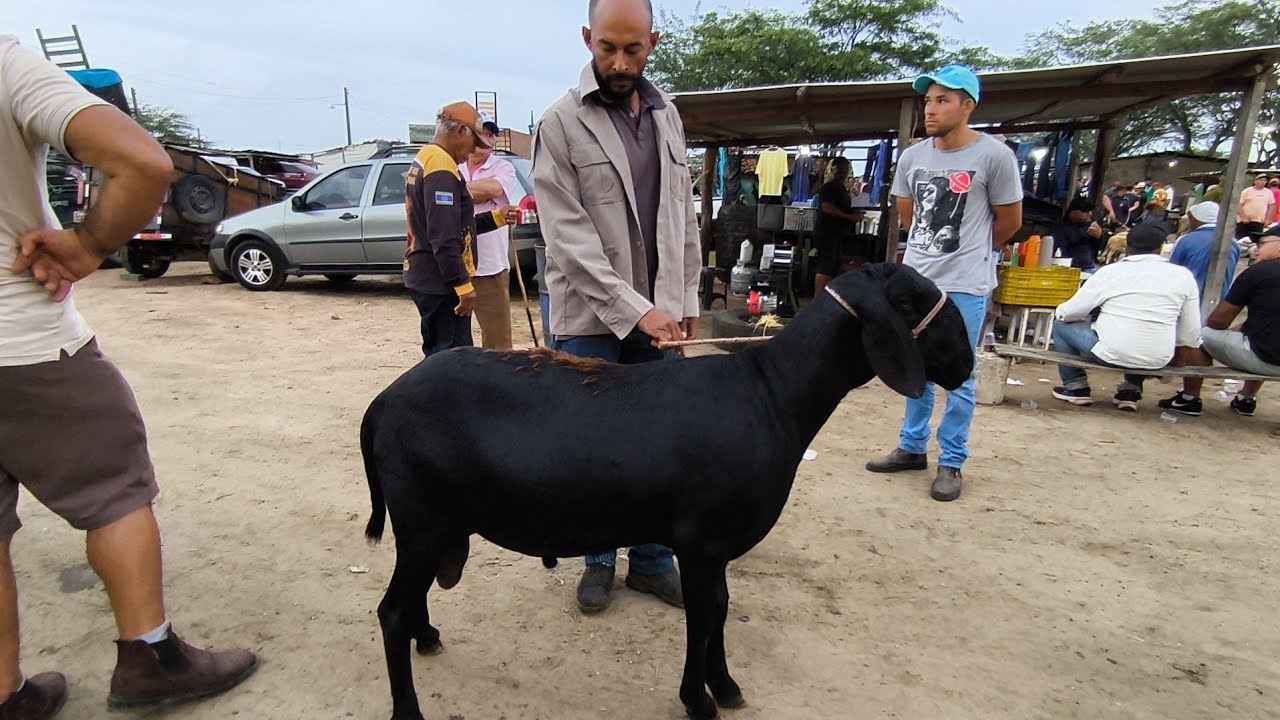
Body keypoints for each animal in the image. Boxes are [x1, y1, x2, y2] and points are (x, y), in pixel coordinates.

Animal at [361, 262, 975, 720]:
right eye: (910, 303)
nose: (967, 362)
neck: (772, 393)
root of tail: (381, 404)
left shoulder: (715, 547)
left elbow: (721, 610)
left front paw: (725, 687)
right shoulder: (701, 541)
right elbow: (704, 619)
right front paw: (698, 700)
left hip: (430, 525)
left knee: (410, 603)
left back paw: (428, 636)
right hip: (422, 518)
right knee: (390, 612)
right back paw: (408, 709)